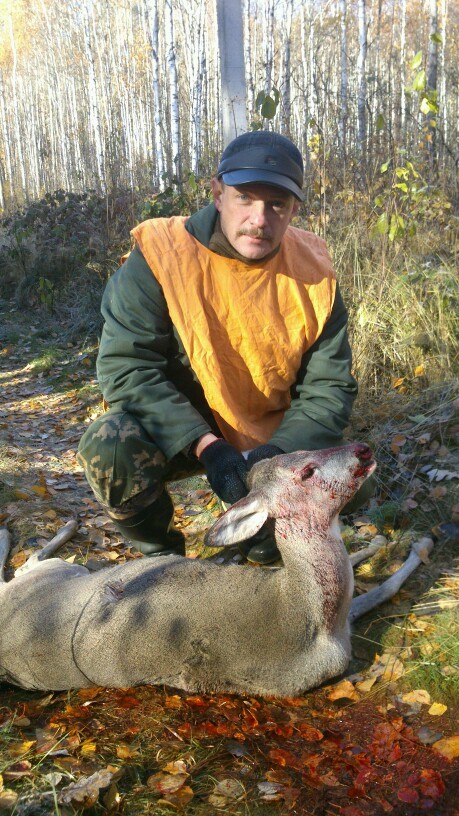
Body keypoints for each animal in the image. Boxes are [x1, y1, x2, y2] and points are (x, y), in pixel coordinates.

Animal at [0, 443, 433, 696]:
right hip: (59, 573)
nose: (363, 449)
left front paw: (376, 544)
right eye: (307, 471)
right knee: (30, 563)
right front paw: (417, 545)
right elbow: (388, 586)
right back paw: (58, 527)